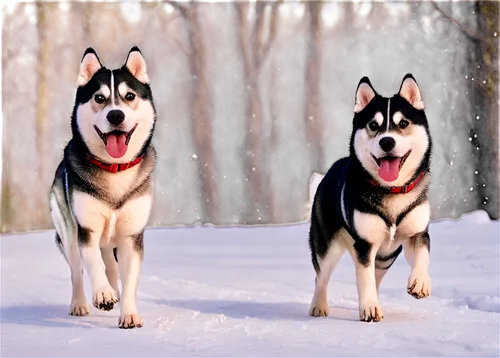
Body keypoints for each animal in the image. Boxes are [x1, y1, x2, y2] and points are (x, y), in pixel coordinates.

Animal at [49, 46, 155, 328]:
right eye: (99, 97)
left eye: (129, 96)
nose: (115, 115)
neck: (113, 170)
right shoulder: (87, 229)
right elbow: (93, 261)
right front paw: (104, 294)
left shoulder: (132, 234)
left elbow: (128, 278)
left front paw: (129, 313)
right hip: (67, 229)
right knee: (77, 269)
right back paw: (80, 303)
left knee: (111, 265)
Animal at [308, 77, 430, 322]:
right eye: (373, 125)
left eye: (403, 123)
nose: (387, 142)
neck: (391, 191)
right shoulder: (365, 244)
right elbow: (364, 279)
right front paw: (370, 309)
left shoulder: (416, 233)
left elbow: (422, 255)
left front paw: (420, 282)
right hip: (327, 244)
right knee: (321, 276)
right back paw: (318, 306)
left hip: (387, 255)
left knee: (375, 275)